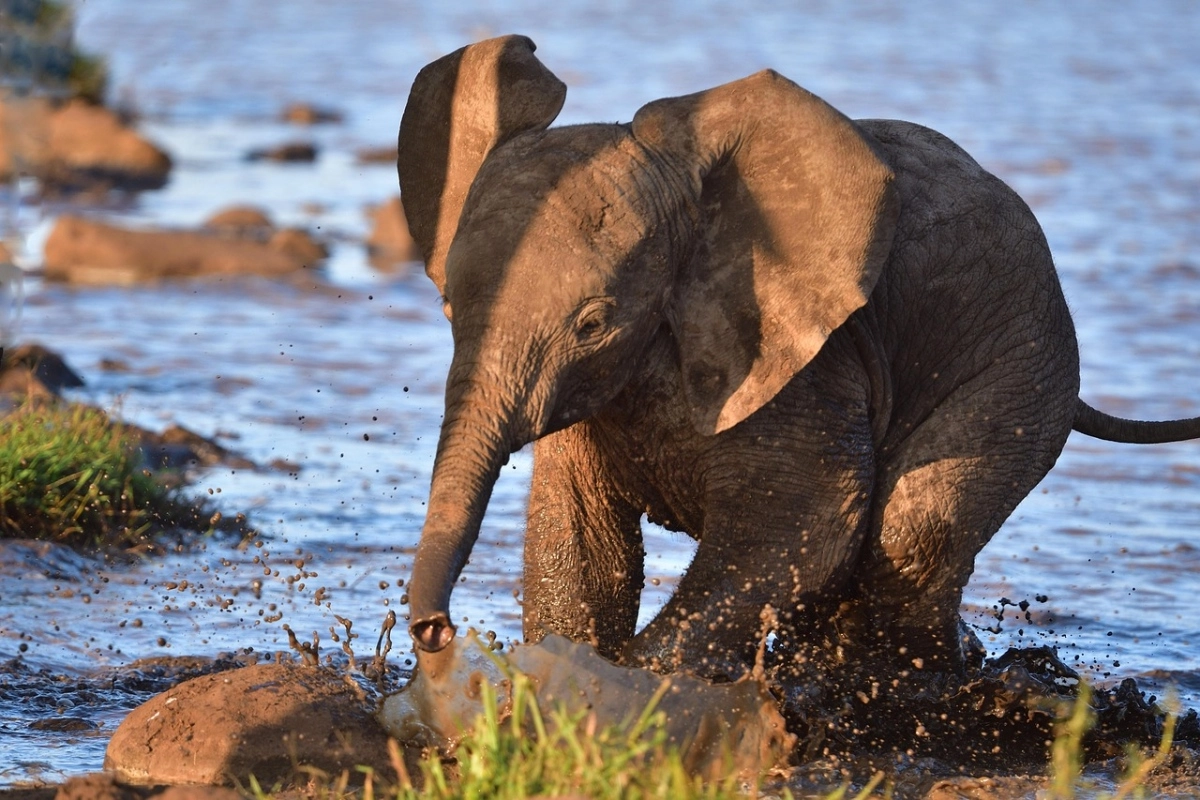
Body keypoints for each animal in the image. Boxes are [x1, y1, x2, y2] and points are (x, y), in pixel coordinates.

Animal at [395, 35, 1200, 681]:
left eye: (594, 323)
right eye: (448, 307)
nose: (433, 632)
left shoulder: (807, 358)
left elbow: (803, 526)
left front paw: (626, 688)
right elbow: (579, 544)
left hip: (1022, 366)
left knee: (914, 530)